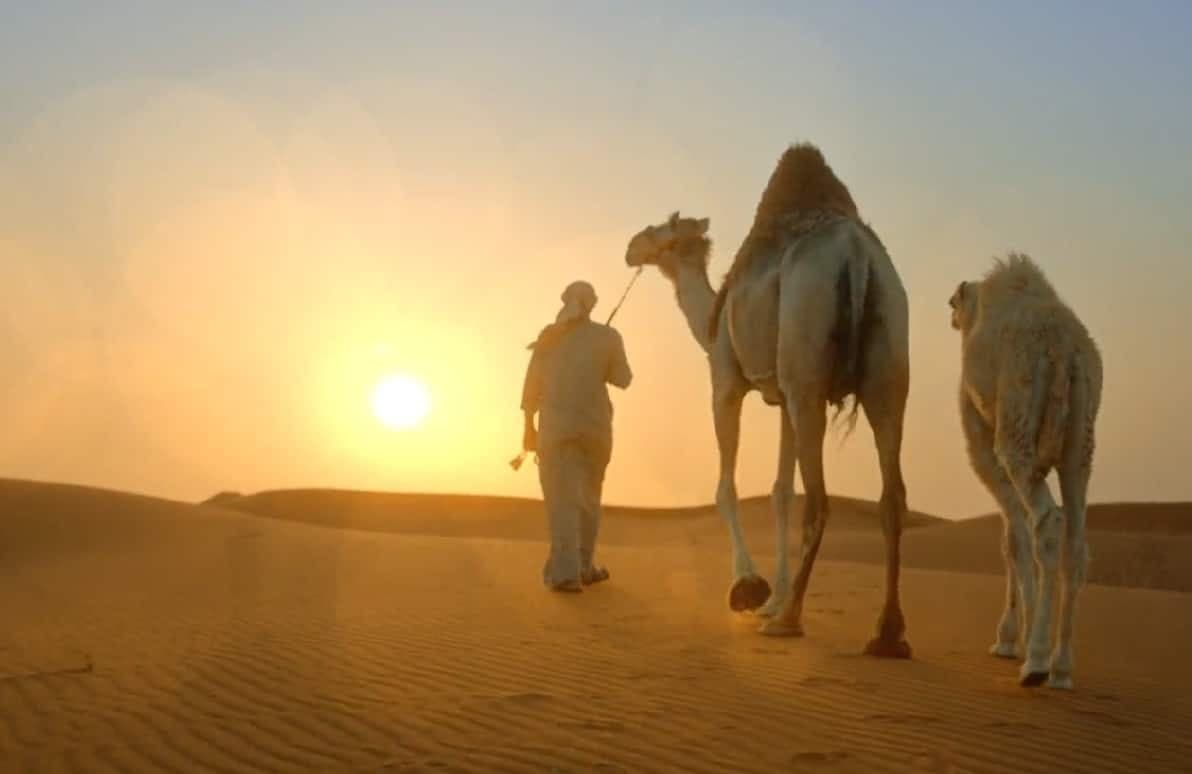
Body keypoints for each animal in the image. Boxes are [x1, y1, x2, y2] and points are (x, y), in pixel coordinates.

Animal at [624, 144, 912, 657]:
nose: (631, 245)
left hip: (806, 359)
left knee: (819, 498)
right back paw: (887, 632)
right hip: (885, 360)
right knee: (891, 495)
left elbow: (727, 487)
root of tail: (857, 254)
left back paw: (790, 619)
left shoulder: (724, 381)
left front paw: (749, 590)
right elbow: (780, 491)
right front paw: (771, 596)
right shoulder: (782, 401)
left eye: (659, 228)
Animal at [949, 253, 1102, 689]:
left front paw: (1007, 640)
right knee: (1076, 539)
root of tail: (1066, 350)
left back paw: (1035, 663)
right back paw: (1062, 668)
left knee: (1048, 522)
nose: (951, 316)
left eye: (954, 303)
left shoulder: (982, 440)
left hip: (1016, 426)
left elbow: (1013, 538)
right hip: (1081, 439)